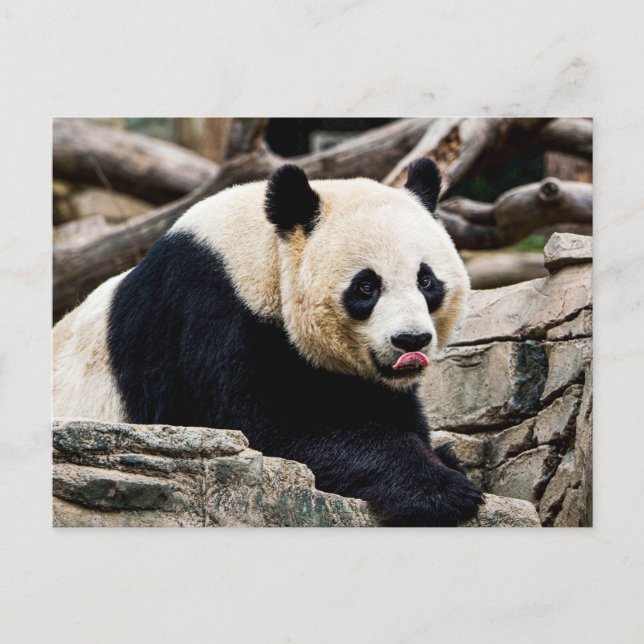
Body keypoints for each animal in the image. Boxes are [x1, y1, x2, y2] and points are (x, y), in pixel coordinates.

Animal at [53, 157, 482, 526]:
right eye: (366, 286)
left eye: (426, 280)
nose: (411, 340)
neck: (263, 254)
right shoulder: (208, 314)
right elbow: (262, 428)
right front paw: (443, 490)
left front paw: (445, 458)